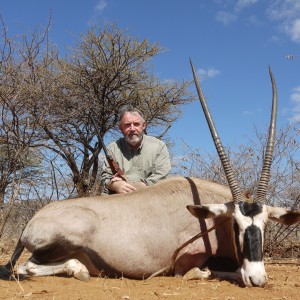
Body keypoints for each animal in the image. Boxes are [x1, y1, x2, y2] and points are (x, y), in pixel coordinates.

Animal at [1, 59, 298, 288]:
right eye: (235, 224)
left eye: (265, 225)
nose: (257, 279)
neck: (210, 221)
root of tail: (32, 221)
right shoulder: (184, 263)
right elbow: (202, 272)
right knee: (27, 267)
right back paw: (80, 270)